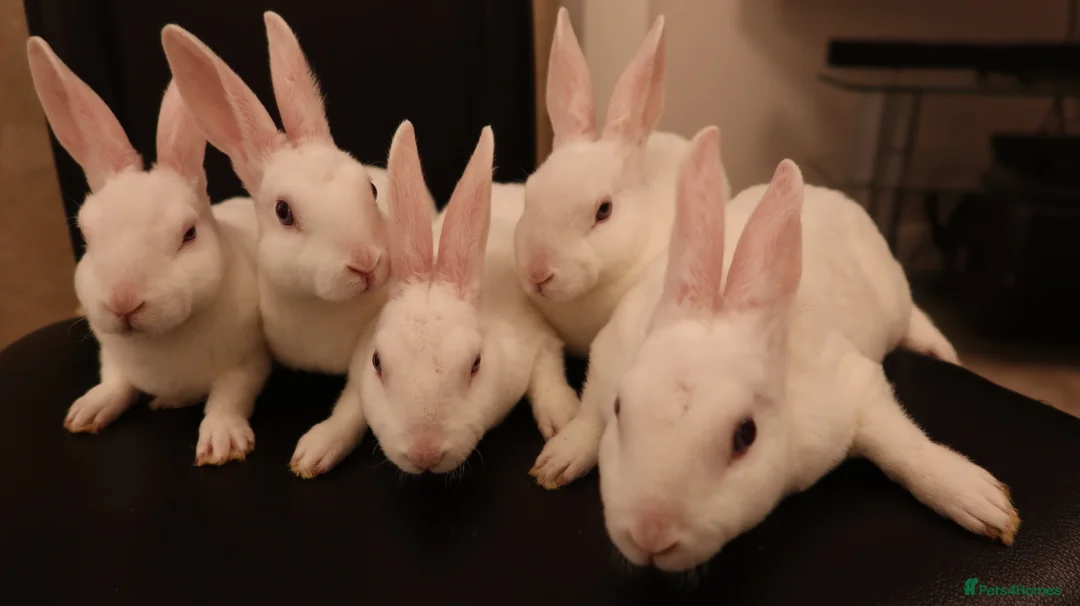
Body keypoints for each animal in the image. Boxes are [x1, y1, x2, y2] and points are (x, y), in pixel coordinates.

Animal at [27, 37, 270, 465]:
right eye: (85, 236)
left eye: (188, 234)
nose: (123, 302)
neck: (160, 341)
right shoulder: (112, 357)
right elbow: (115, 382)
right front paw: (87, 411)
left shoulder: (249, 362)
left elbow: (229, 396)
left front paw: (222, 442)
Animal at [289, 121, 581, 478]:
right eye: (377, 362)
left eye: (476, 364)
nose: (424, 453)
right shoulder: (359, 372)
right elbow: (350, 408)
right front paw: (315, 451)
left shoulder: (537, 339)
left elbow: (548, 376)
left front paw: (565, 422)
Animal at [530, 126, 962, 491]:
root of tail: (838, 197)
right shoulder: (608, 354)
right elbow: (589, 413)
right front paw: (558, 460)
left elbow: (905, 448)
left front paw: (972, 496)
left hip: (894, 298)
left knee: (915, 317)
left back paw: (942, 351)